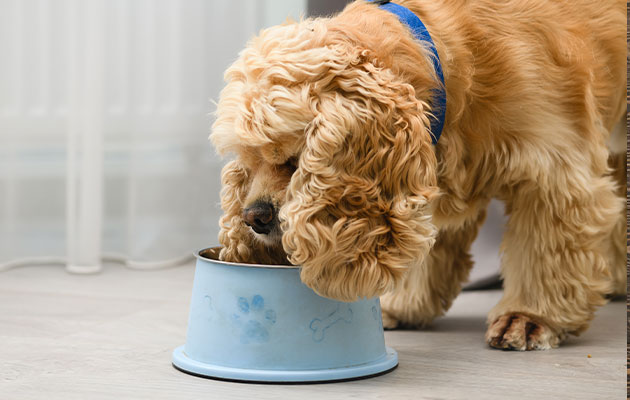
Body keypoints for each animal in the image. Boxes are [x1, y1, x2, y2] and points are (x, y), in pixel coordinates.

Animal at [211, 0, 628, 350]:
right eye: (247, 161)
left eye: (293, 160)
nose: (253, 217)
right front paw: (403, 305)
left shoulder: (554, 169)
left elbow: (545, 249)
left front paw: (528, 317)